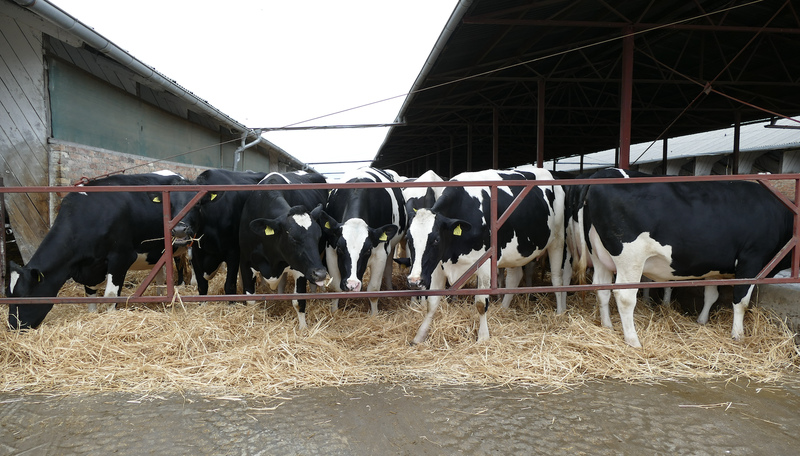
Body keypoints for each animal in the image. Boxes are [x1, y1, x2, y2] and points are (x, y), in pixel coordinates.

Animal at [7, 171, 186, 328]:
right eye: (7, 295)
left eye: (25, 297)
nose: (12, 326)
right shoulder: (89, 268)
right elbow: (90, 295)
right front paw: (92, 315)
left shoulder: (121, 257)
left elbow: (110, 296)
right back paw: (161, 295)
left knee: (180, 263)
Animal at [238, 170, 328, 328]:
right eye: (293, 238)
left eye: (318, 236)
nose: (320, 274)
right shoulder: (245, 262)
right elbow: (251, 300)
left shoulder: (301, 268)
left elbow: (299, 302)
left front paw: (303, 329)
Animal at [320, 167, 406, 314]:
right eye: (340, 248)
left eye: (367, 250)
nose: (352, 284)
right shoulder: (330, 249)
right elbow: (335, 287)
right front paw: (334, 312)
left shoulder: (380, 252)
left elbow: (373, 289)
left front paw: (374, 315)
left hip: (391, 246)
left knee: (389, 267)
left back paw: (389, 288)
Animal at [406, 169, 568, 344]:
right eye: (408, 238)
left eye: (436, 239)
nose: (414, 281)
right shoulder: (437, 265)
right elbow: (432, 302)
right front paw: (419, 336)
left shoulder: (485, 264)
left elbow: (480, 303)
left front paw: (483, 337)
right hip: (516, 250)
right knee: (514, 278)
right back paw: (503, 309)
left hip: (557, 240)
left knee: (557, 279)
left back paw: (560, 313)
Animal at [576, 169, 792, 348]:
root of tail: (603, 173)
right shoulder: (752, 259)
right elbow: (741, 300)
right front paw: (738, 335)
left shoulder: (714, 267)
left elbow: (711, 295)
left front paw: (702, 321)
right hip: (631, 259)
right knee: (624, 296)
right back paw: (633, 340)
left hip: (599, 255)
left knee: (601, 289)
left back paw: (607, 327)